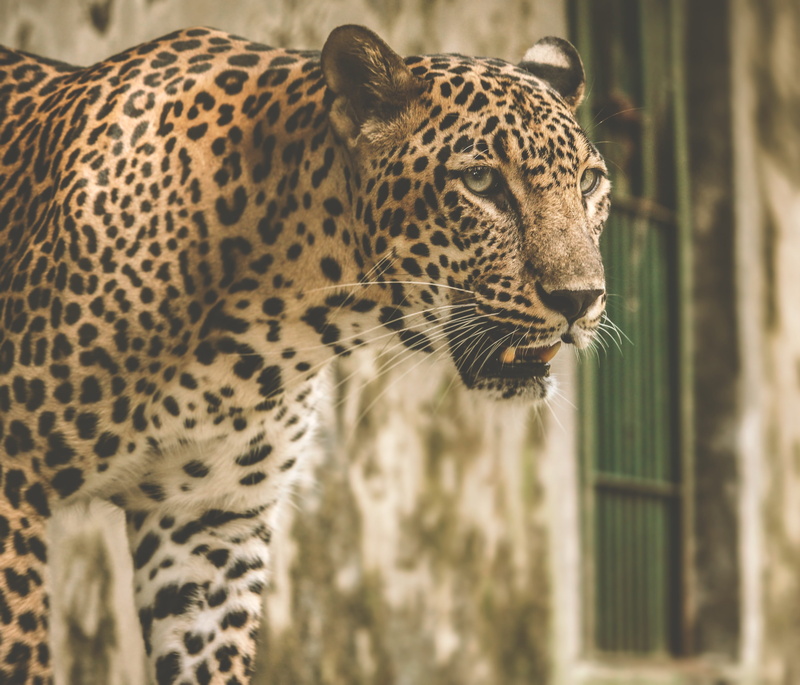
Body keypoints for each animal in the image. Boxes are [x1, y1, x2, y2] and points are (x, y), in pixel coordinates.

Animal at [0, 23, 608, 685]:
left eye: (590, 183)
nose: (580, 298)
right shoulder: (12, 487)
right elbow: (20, 649)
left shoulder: (209, 525)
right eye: (480, 183)